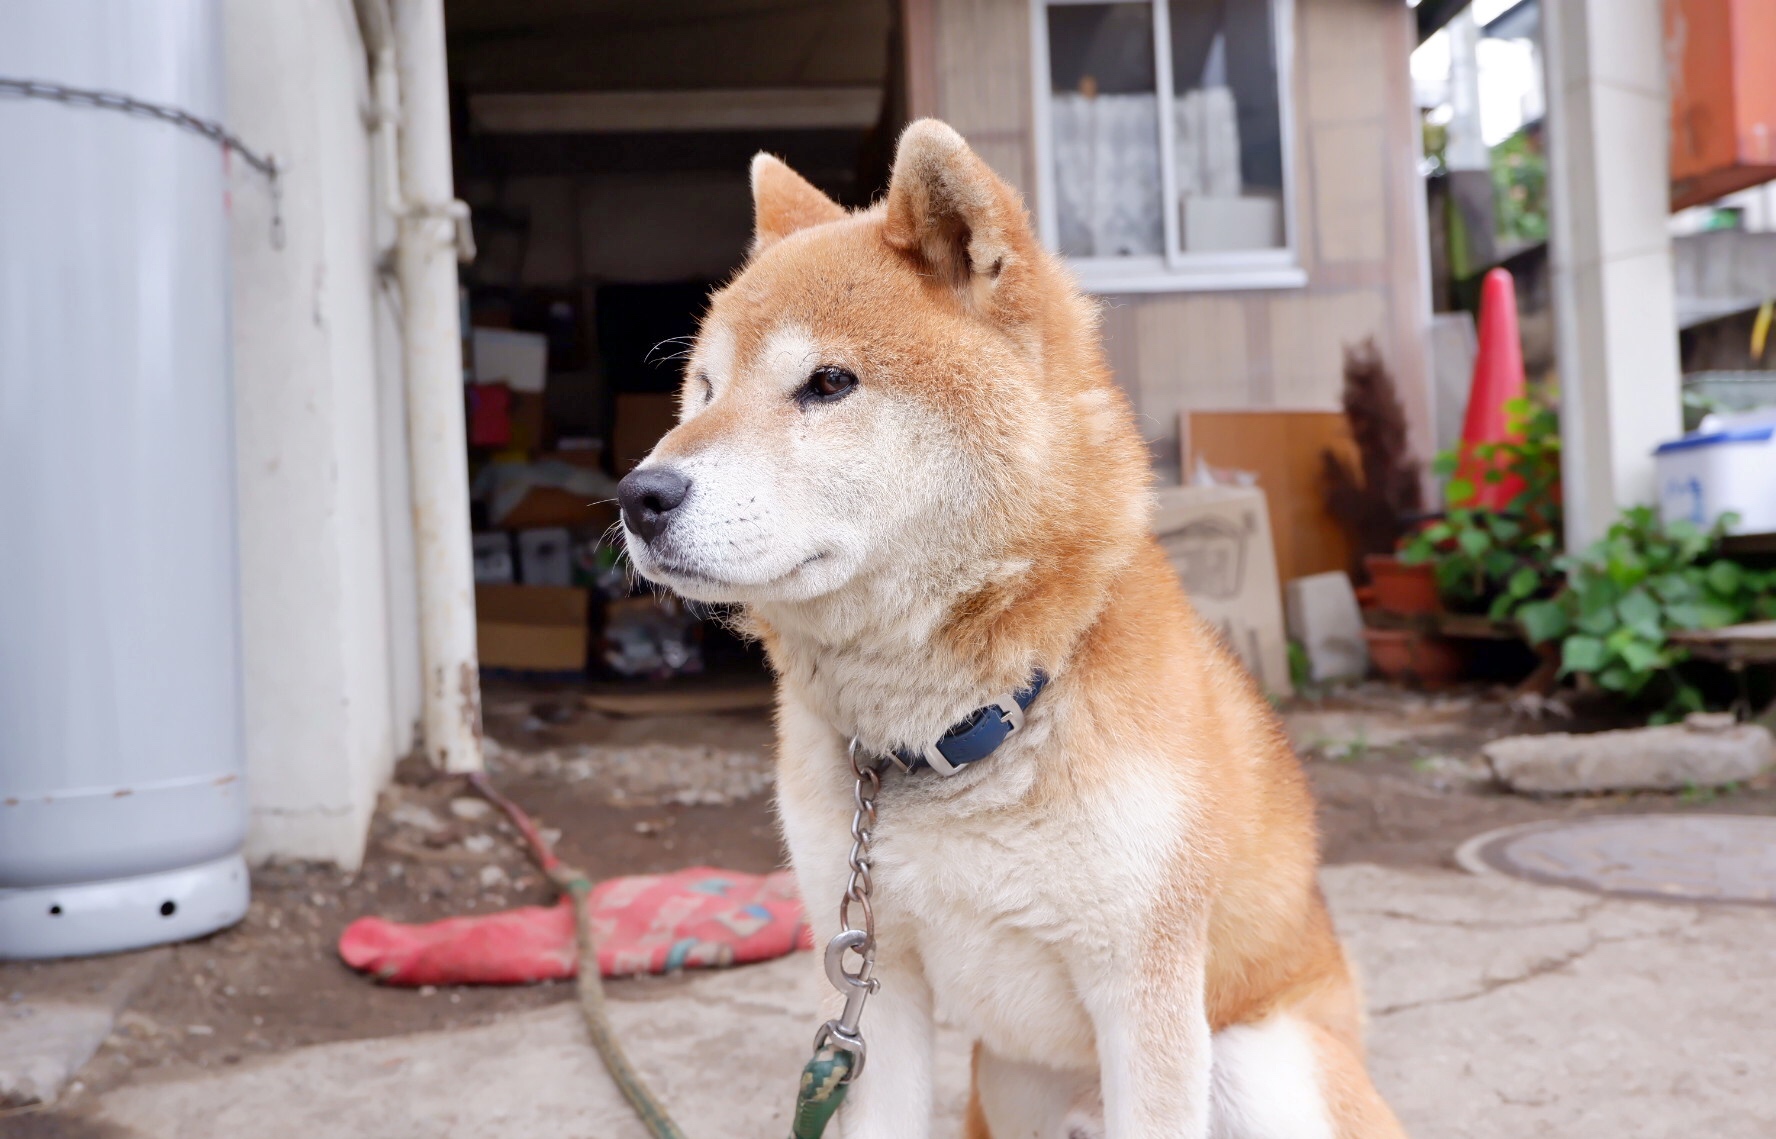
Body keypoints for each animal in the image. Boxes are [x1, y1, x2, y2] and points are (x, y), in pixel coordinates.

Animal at [618, 119, 1406, 1130]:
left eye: (828, 382)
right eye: (706, 389)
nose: (639, 495)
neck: (960, 729)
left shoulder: (1145, 989)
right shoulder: (876, 985)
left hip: (1255, 1062)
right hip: (1009, 1081)